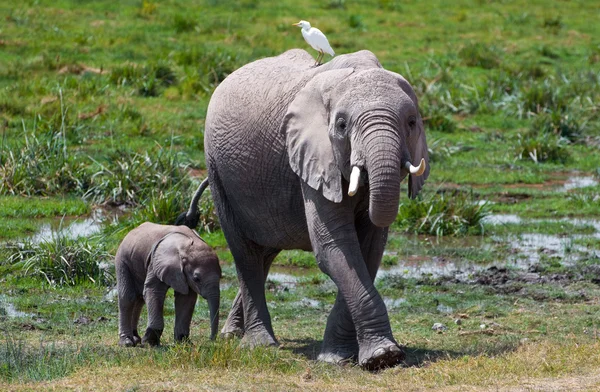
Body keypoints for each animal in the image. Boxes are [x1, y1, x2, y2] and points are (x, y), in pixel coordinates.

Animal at [204, 49, 428, 370]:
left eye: (411, 122)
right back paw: (259, 344)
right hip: (218, 172)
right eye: (342, 125)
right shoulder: (312, 156)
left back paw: (231, 334)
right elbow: (335, 246)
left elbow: (368, 250)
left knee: (265, 252)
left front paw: (343, 356)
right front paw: (381, 356)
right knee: (245, 253)